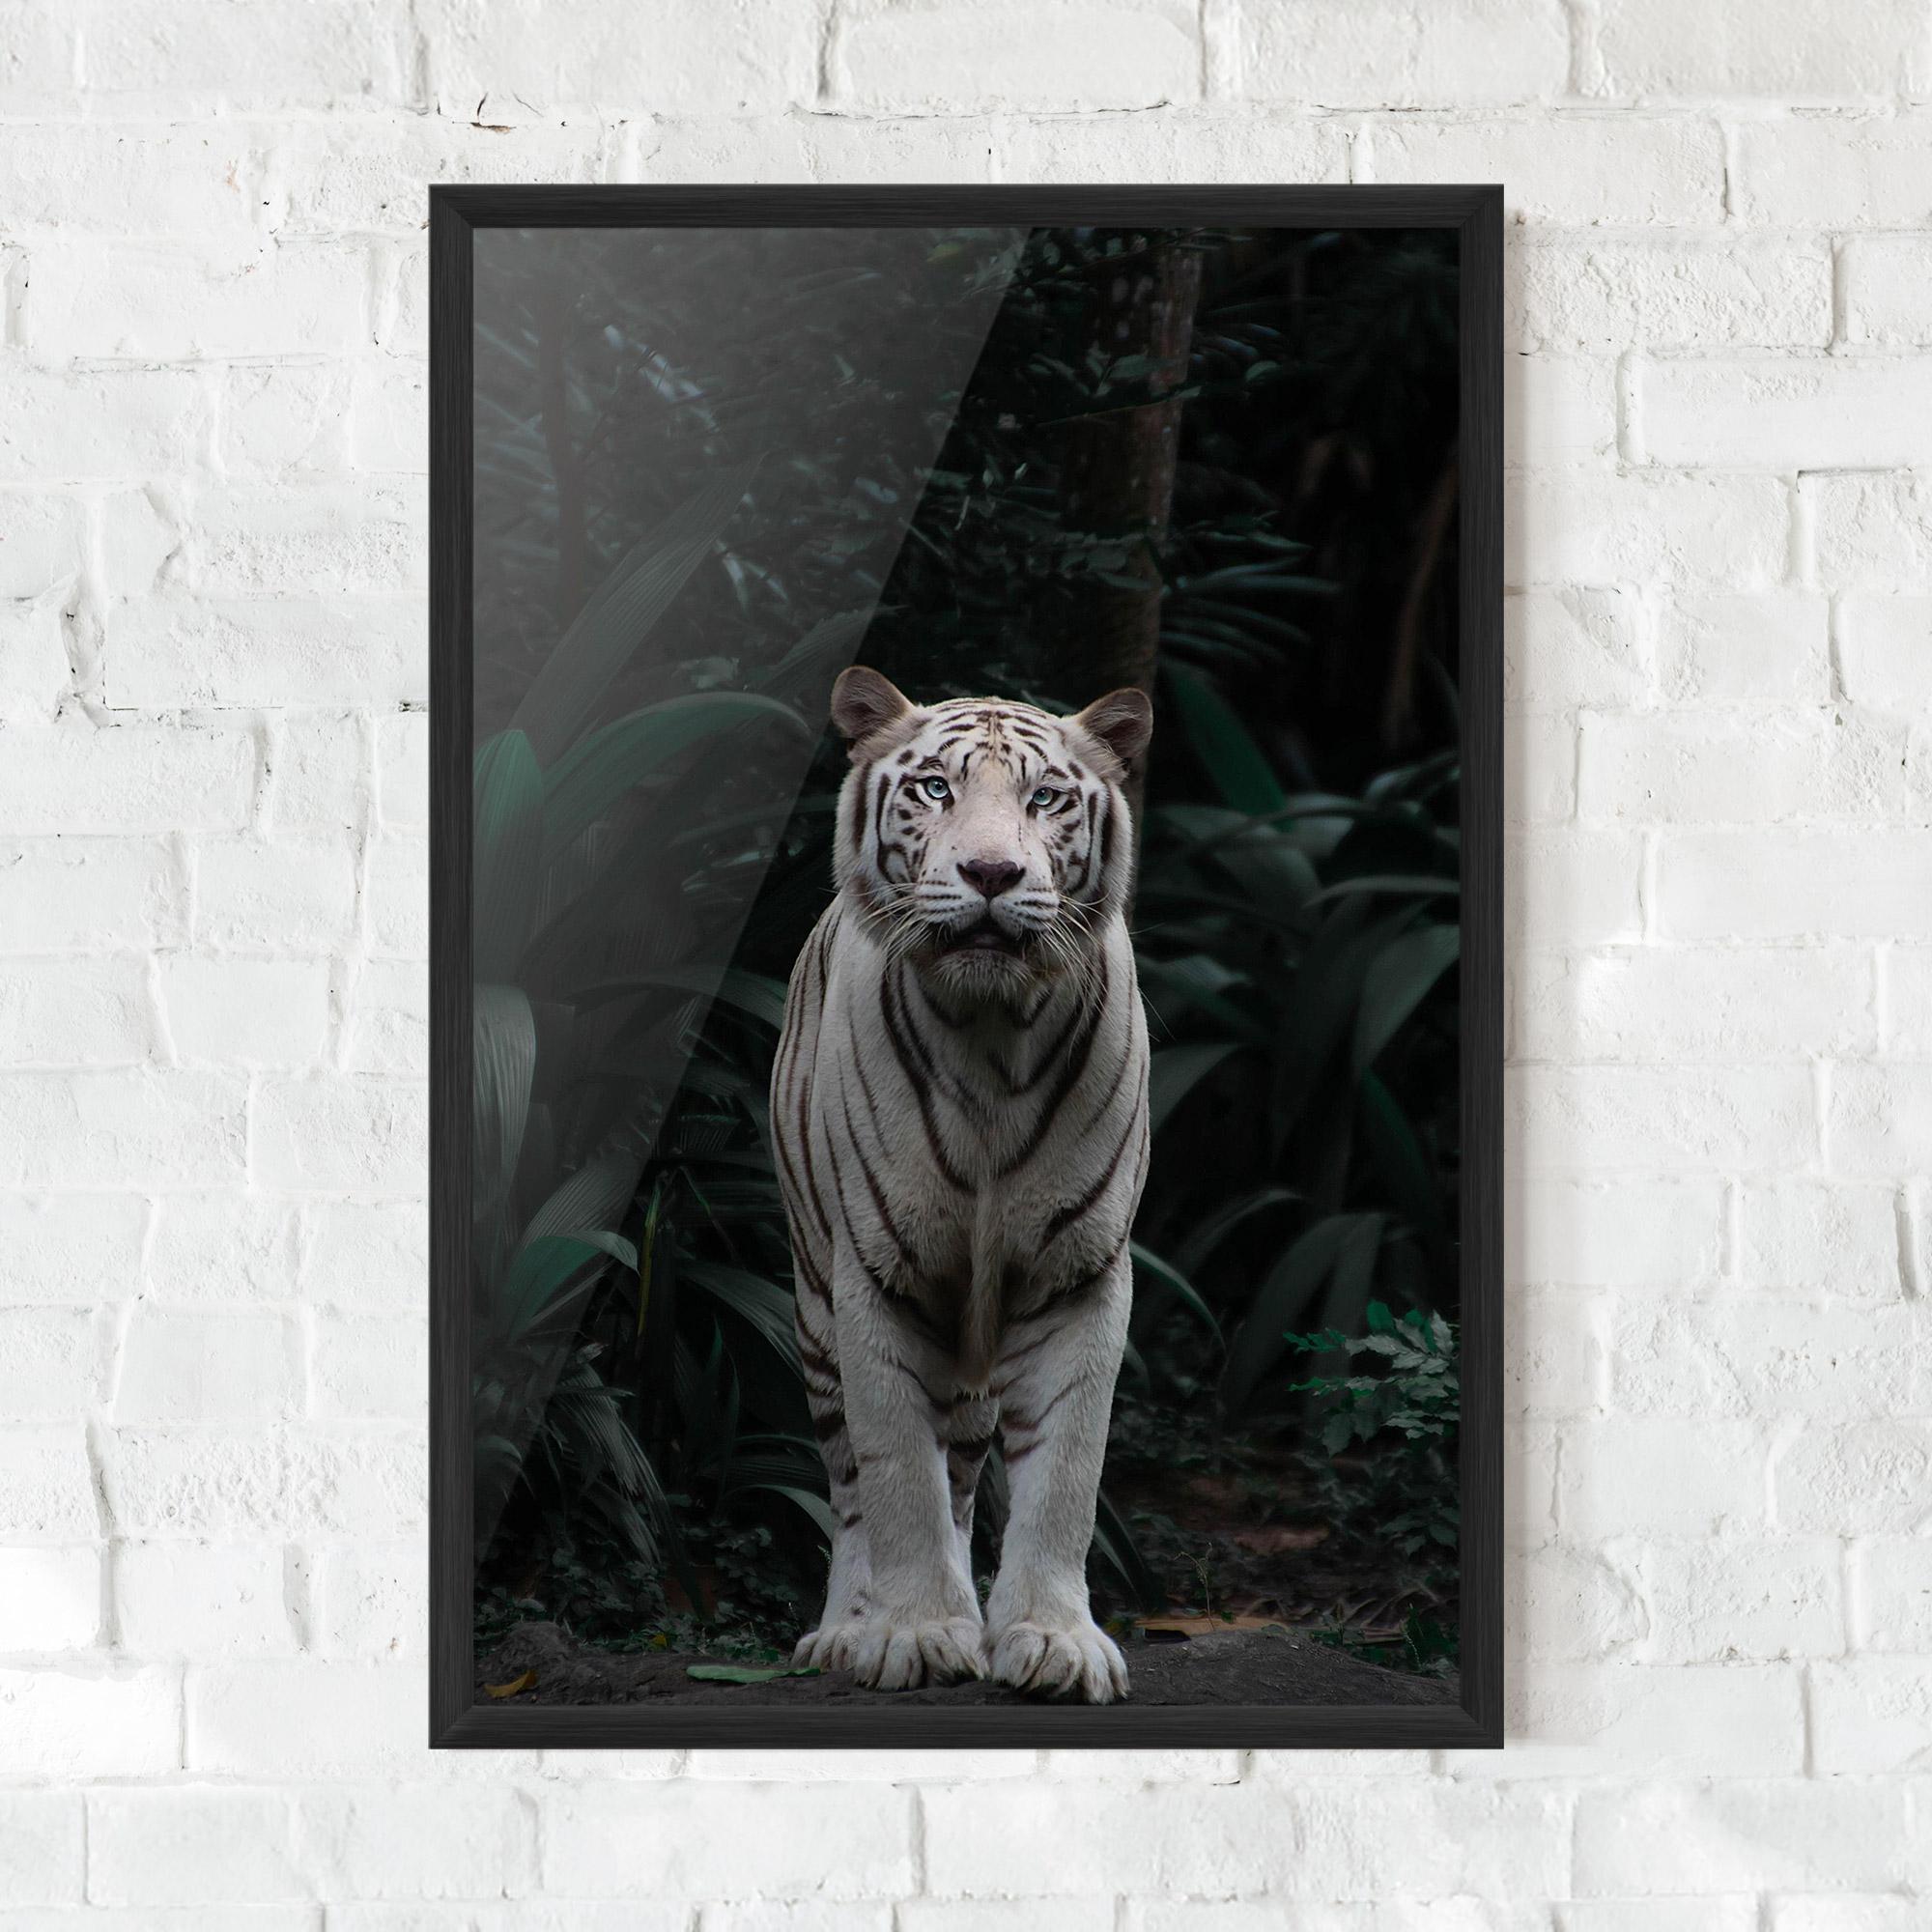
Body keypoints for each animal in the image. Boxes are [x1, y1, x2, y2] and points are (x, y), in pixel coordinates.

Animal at [769, 664, 1153, 1704]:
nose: (990, 874)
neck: (990, 1036)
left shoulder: (1078, 1275)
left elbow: (1066, 1471)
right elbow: (897, 1472)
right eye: (935, 789)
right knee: (852, 1484)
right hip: (813, 1310)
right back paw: (845, 1629)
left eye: (1045, 797)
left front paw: (1052, 1639)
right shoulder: (875, 1276)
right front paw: (913, 1631)